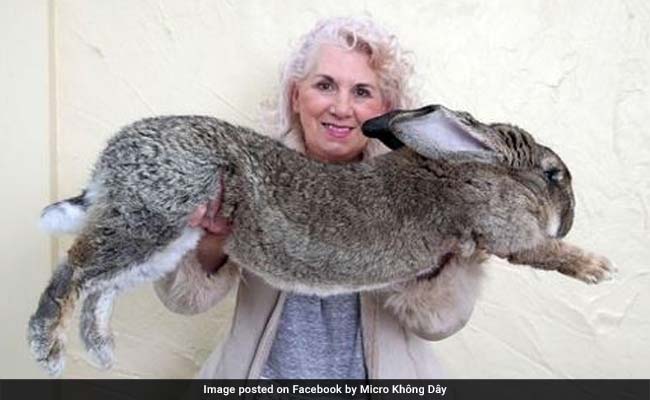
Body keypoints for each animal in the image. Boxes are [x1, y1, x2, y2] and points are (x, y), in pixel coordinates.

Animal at [28, 104, 613, 376]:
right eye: (555, 175)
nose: (569, 219)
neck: (477, 166)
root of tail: (110, 160)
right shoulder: (506, 229)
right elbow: (545, 253)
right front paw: (598, 267)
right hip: (158, 215)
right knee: (76, 269)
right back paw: (49, 350)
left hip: (166, 234)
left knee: (101, 285)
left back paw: (101, 352)